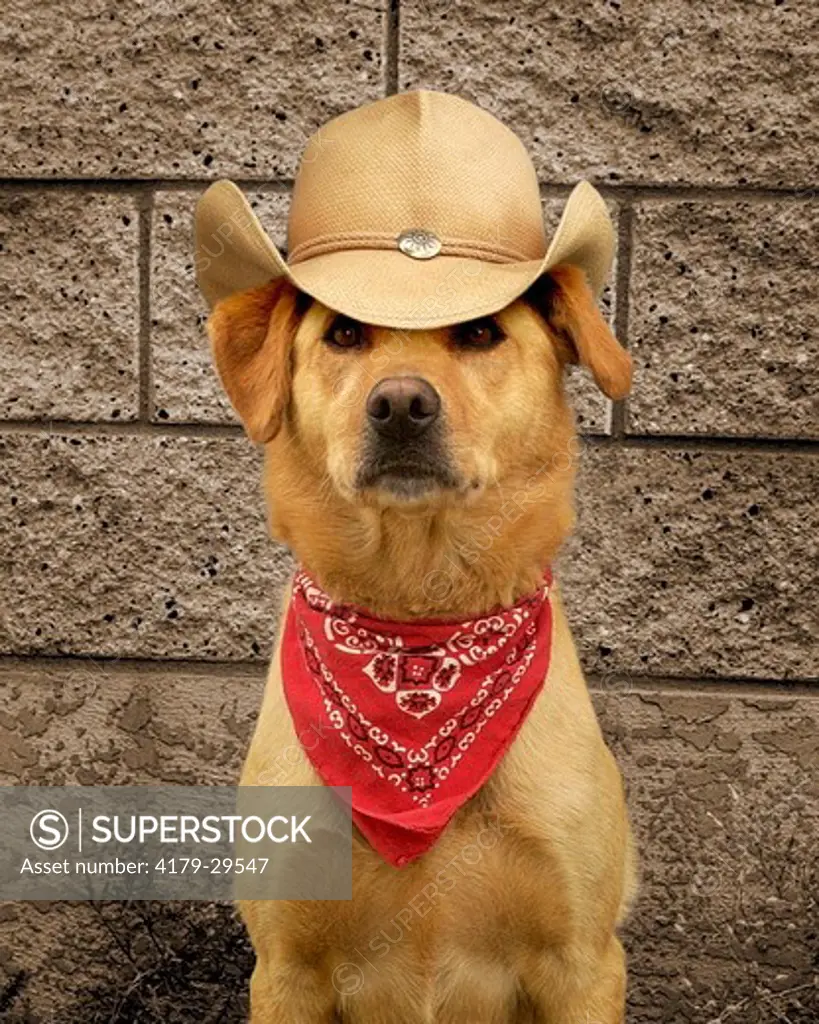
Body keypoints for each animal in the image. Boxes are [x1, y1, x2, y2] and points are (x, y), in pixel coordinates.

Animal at [202, 260, 634, 1019]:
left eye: (482, 332)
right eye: (343, 333)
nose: (401, 405)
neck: (417, 622)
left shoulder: (582, 965)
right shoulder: (287, 968)